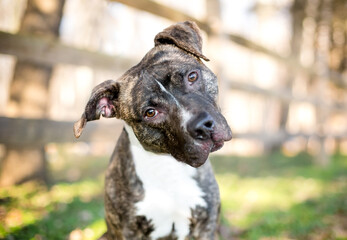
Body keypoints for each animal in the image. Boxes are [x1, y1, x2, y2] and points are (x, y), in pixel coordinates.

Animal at [75, 21, 234, 240]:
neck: (169, 167)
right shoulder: (128, 231)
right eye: (150, 112)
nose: (202, 125)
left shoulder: (206, 226)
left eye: (192, 76)